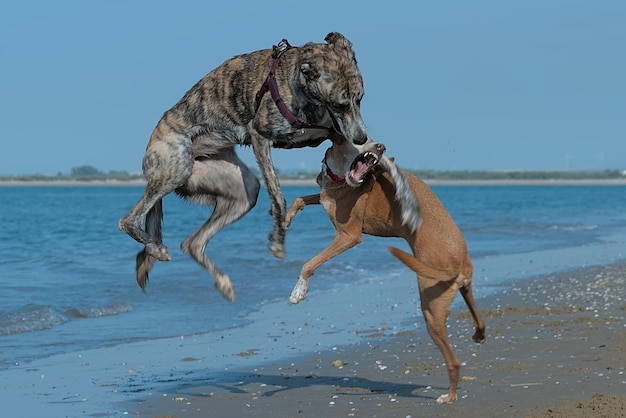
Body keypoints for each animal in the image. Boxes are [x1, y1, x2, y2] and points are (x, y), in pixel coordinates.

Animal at [286, 138, 486, 404]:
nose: (381, 147)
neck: (339, 178)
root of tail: (457, 262)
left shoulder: (348, 236)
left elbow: (309, 264)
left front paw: (298, 291)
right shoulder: (323, 198)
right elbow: (300, 198)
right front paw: (286, 218)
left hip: (431, 309)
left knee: (453, 361)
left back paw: (449, 396)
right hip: (463, 291)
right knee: (480, 321)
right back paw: (478, 336)